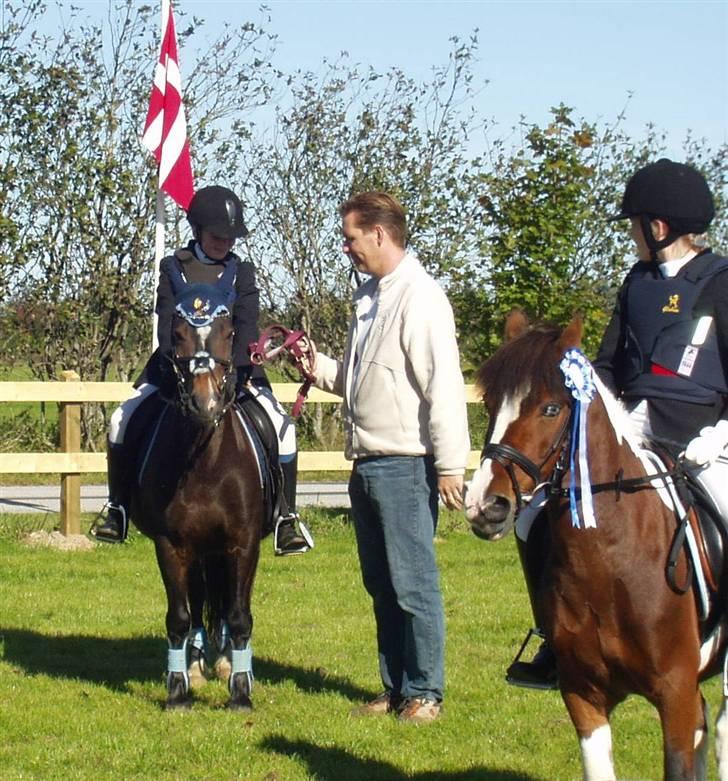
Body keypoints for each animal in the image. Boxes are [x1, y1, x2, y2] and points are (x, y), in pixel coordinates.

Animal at [129, 284, 266, 708]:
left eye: (229, 332)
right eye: (177, 335)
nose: (204, 404)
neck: (205, 460)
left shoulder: (242, 543)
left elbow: (238, 615)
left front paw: (240, 692)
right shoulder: (171, 544)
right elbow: (180, 617)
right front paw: (178, 690)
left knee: (228, 606)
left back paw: (225, 664)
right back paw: (198, 664)